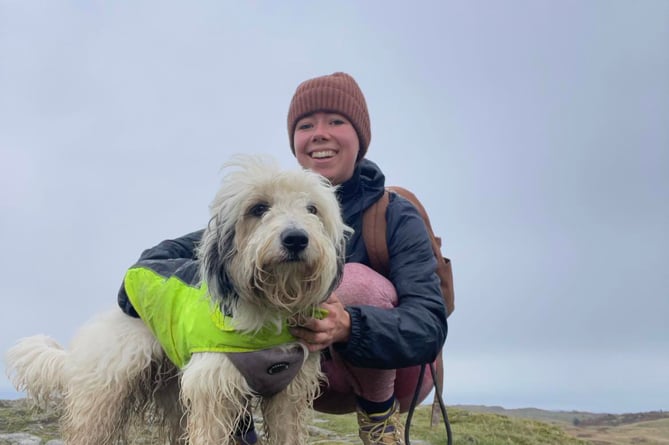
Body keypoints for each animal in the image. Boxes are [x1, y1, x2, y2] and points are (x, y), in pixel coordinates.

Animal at [6, 154, 350, 442]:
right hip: (102, 395)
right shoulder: (213, 391)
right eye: (259, 208)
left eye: (312, 209)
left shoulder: (287, 395)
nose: (296, 239)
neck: (267, 312)